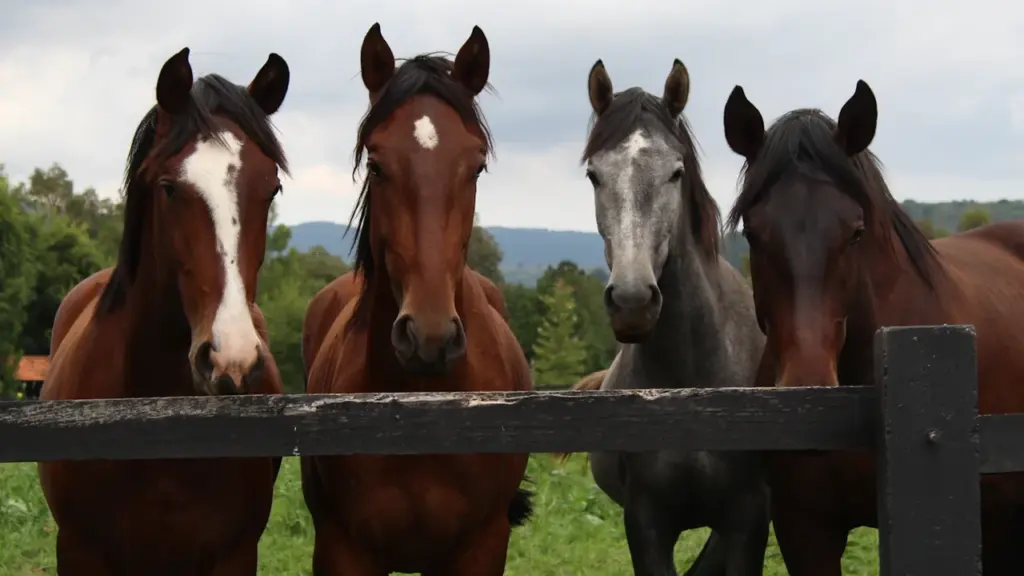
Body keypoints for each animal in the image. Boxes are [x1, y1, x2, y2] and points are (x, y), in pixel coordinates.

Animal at [299, 23, 533, 575]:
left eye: (477, 166)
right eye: (376, 164)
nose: (429, 337)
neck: (420, 409)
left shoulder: (480, 549)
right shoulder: (343, 550)